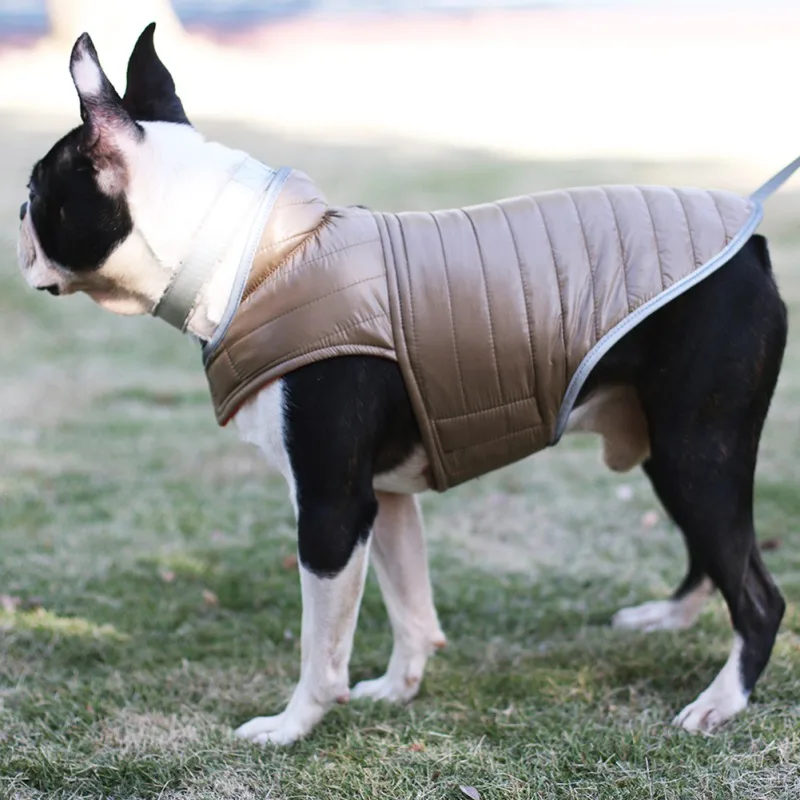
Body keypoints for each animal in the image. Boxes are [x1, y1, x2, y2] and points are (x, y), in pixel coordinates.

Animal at [18, 26, 792, 752]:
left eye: (35, 193)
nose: (17, 218)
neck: (252, 260)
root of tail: (750, 238)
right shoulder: (384, 498)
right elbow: (411, 606)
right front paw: (399, 688)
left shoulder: (331, 509)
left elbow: (322, 646)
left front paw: (293, 725)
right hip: (674, 448)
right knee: (714, 557)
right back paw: (671, 617)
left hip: (697, 449)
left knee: (758, 595)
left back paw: (721, 700)